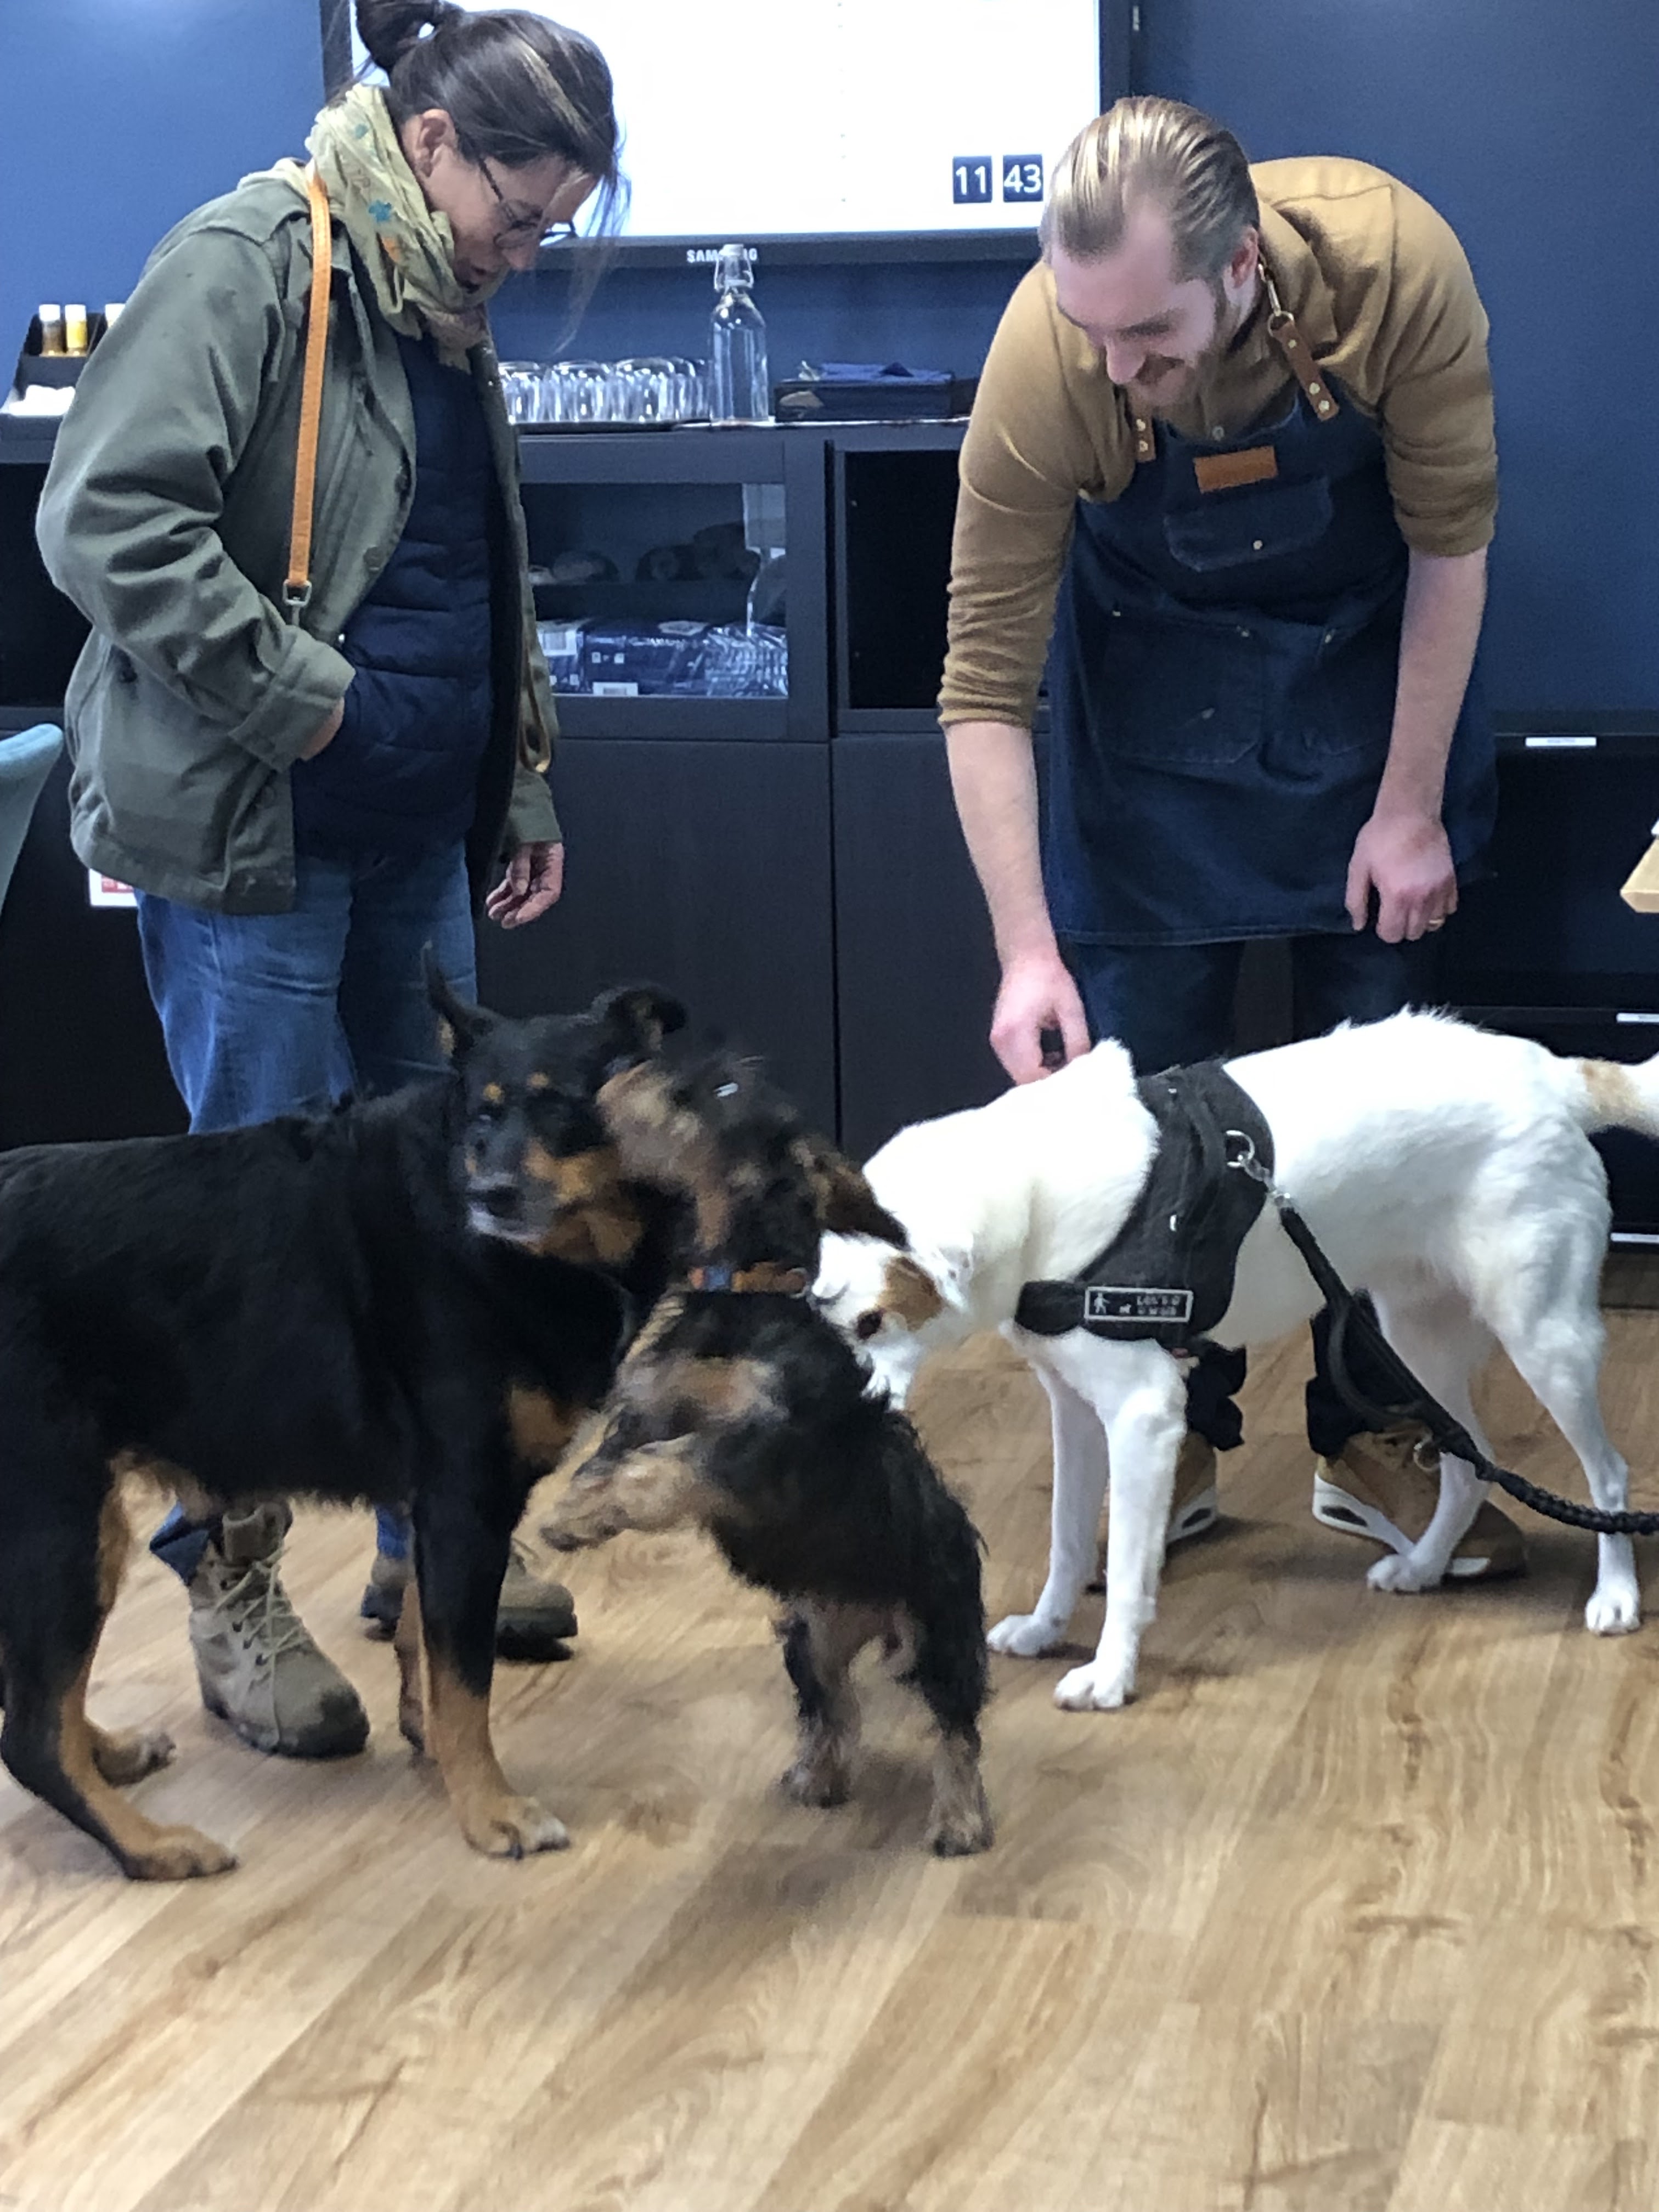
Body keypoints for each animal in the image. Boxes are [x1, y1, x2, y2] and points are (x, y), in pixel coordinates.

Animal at [0, 972, 688, 1880]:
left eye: (567, 1106)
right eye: (483, 1117)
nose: (491, 1198)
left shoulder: (440, 1512)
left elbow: (421, 1638)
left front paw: (433, 1747)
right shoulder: (464, 1501)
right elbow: (465, 1679)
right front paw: (489, 1810)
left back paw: (108, 1753)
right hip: (60, 1521)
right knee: (31, 1736)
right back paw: (151, 1845)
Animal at [539, 1050, 995, 1856]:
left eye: (724, 1088)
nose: (624, 1068)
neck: (741, 1294)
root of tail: (868, 1615)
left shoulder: (766, 1445)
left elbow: (672, 1465)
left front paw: (597, 1510)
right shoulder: (650, 1402)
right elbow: (612, 1461)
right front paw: (573, 1517)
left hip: (939, 1628)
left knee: (954, 1725)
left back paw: (959, 1818)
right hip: (811, 1636)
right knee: (833, 1705)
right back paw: (819, 1776)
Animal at [814, 1011, 1659, 1714]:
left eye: (875, 1321)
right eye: (824, 1318)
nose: (837, 1428)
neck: (1033, 1191)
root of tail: (1556, 1074)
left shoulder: (1142, 1416)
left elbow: (1129, 1569)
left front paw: (1110, 1676)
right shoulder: (1076, 1409)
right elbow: (1066, 1537)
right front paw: (1047, 1627)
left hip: (1543, 1332)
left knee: (1606, 1474)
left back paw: (1616, 1594)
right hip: (1414, 1334)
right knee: (1467, 1460)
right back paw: (1423, 1566)